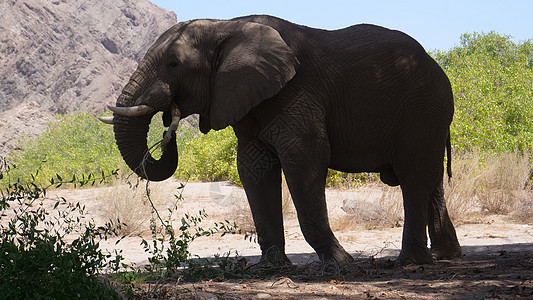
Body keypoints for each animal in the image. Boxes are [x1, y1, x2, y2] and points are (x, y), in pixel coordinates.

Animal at [100, 15, 462, 266]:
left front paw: (341, 262)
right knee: (429, 179)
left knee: (413, 177)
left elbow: (303, 159)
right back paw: (445, 256)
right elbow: (253, 168)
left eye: (173, 64)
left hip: (423, 111)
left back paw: (411, 262)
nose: (167, 123)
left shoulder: (297, 92)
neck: (225, 26)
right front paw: (272, 267)